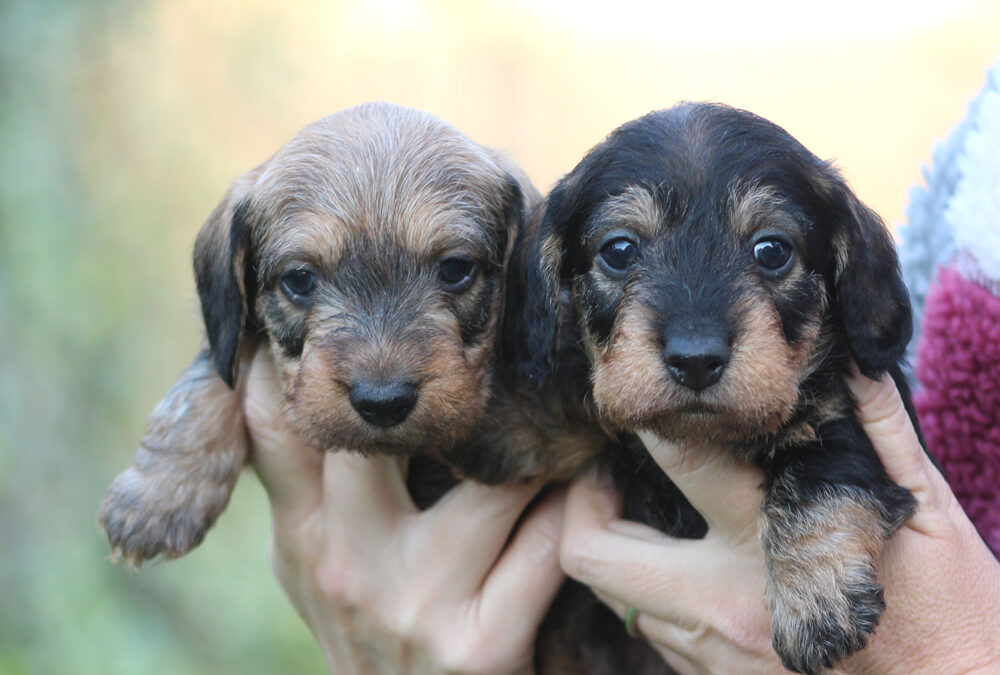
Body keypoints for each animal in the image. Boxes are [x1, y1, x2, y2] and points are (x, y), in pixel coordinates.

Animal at [516, 103, 920, 672]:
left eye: (772, 250)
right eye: (619, 250)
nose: (696, 359)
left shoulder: (841, 417)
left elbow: (820, 475)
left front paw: (816, 598)